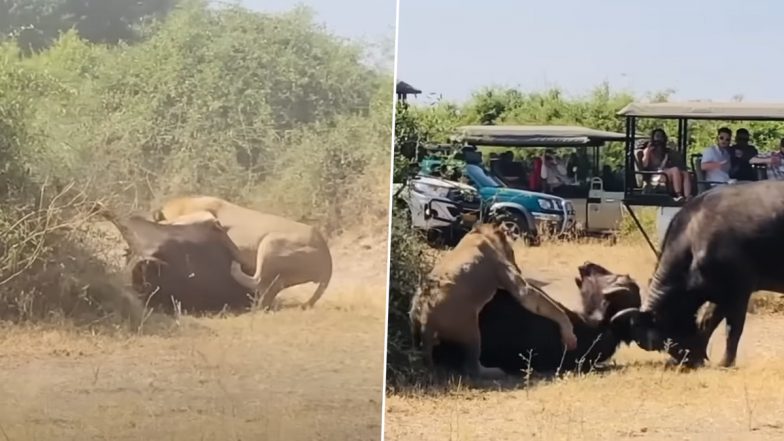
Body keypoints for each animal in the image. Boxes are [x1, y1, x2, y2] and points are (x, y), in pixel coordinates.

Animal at [151, 195, 333, 310]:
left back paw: (235, 263)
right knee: (268, 291)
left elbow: (176, 221)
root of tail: (328, 259)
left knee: (257, 281)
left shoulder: (207, 215)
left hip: (270, 241)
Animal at [409, 221, 578, 378]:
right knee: (471, 367)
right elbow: (528, 295)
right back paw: (494, 371)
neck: (482, 234)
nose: (518, 268)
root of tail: (425, 322)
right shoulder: (503, 268)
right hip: (470, 329)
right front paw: (568, 332)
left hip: (415, 319)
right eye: (512, 252)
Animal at [612, 180, 784, 368]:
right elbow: (707, 321)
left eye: (656, 341)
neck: (695, 237)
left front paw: (725, 362)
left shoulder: (739, 292)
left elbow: (733, 329)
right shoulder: (718, 294)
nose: (686, 360)